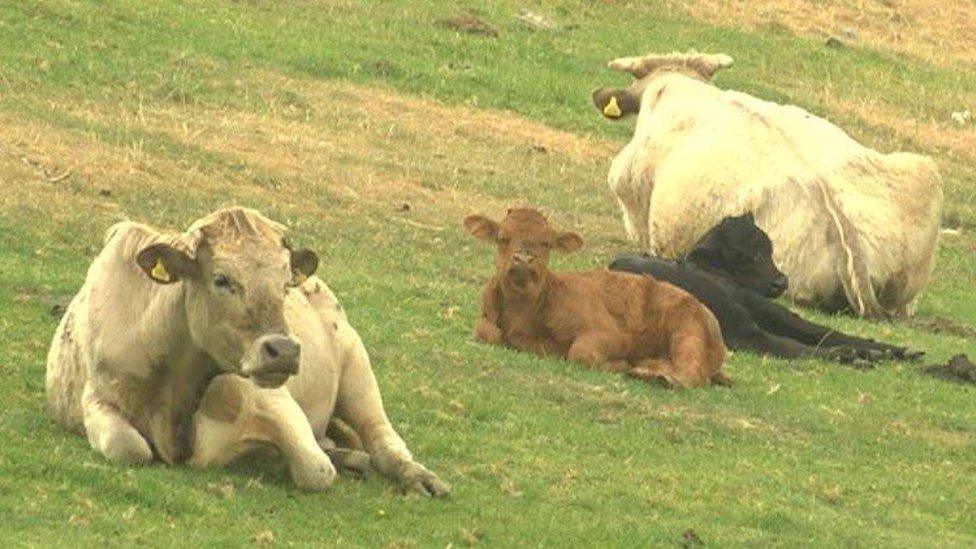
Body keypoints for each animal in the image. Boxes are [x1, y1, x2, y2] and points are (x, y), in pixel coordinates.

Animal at [47, 207, 452, 496]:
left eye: (285, 284)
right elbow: (129, 447)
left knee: (382, 437)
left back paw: (417, 476)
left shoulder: (271, 397)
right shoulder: (98, 397)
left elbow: (316, 469)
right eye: (221, 279)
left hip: (358, 370)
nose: (284, 350)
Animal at [462, 207, 728, 390]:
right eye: (502, 237)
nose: (524, 259)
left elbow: (581, 352)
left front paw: (617, 365)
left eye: (546, 243)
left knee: (693, 373)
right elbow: (486, 333)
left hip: (688, 332)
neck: (523, 318)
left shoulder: (611, 334)